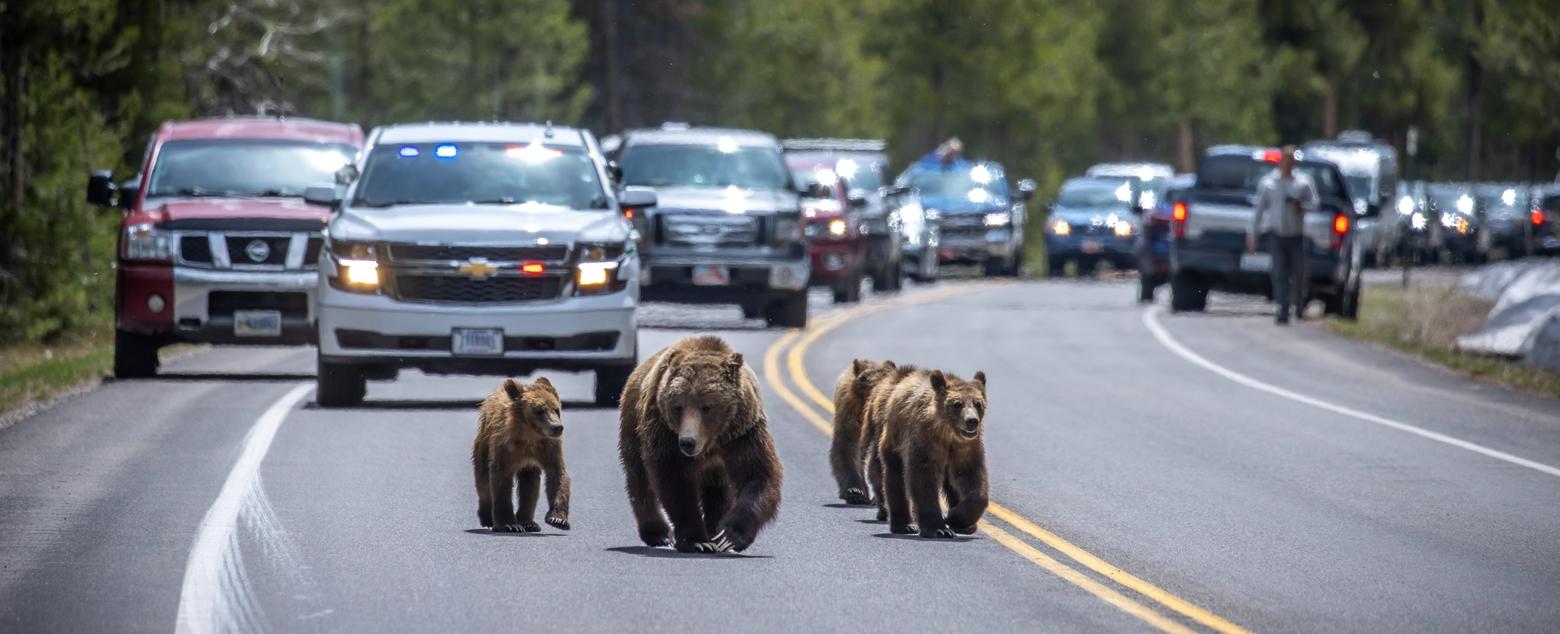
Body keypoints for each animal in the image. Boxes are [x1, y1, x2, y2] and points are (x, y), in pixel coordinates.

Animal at [474, 379, 580, 530]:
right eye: (540, 410)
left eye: (556, 409)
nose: (557, 427)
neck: (529, 435)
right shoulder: (504, 447)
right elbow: (500, 481)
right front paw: (509, 524)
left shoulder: (548, 447)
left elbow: (557, 475)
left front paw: (558, 519)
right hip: (483, 444)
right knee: (482, 480)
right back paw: (487, 518)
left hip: (529, 466)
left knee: (530, 486)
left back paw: (528, 522)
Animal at [617, 334, 786, 552]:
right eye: (678, 406)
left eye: (707, 407)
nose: (687, 442)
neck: (712, 442)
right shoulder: (664, 433)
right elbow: (674, 481)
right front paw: (695, 539)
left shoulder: (743, 433)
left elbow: (757, 474)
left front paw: (730, 535)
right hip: (634, 426)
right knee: (639, 478)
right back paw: (658, 533)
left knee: (718, 491)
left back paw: (714, 531)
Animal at [867, 368, 985, 537]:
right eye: (957, 404)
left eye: (978, 403)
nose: (971, 421)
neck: (947, 434)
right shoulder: (925, 442)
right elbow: (923, 479)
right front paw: (939, 528)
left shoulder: (966, 448)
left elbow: (973, 479)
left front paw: (956, 517)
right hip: (893, 440)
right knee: (894, 477)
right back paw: (904, 525)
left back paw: (966, 526)